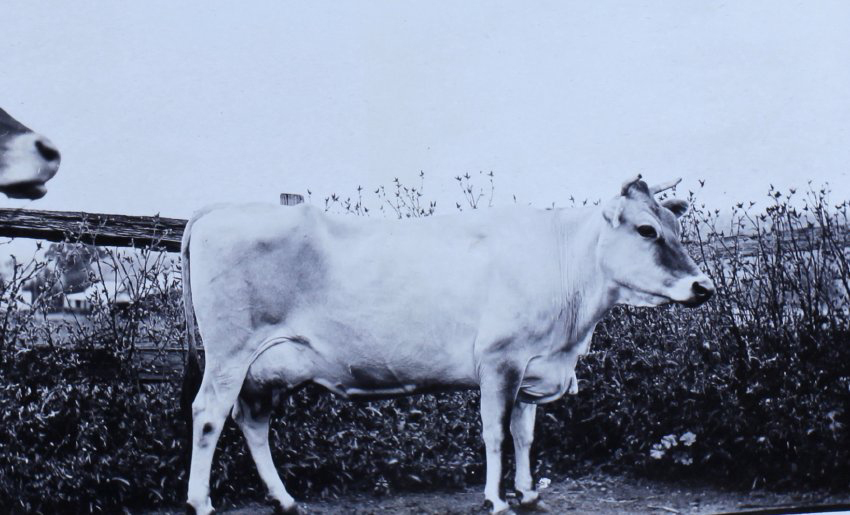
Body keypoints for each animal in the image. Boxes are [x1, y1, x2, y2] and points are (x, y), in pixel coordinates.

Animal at [182, 175, 714, 514]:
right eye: (646, 229)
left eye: (676, 228)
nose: (703, 286)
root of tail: (216, 210)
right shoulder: (501, 361)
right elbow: (496, 433)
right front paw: (496, 499)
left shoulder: (532, 364)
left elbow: (525, 434)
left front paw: (527, 493)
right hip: (230, 354)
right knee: (208, 415)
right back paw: (201, 503)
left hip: (265, 370)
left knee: (251, 422)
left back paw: (285, 500)